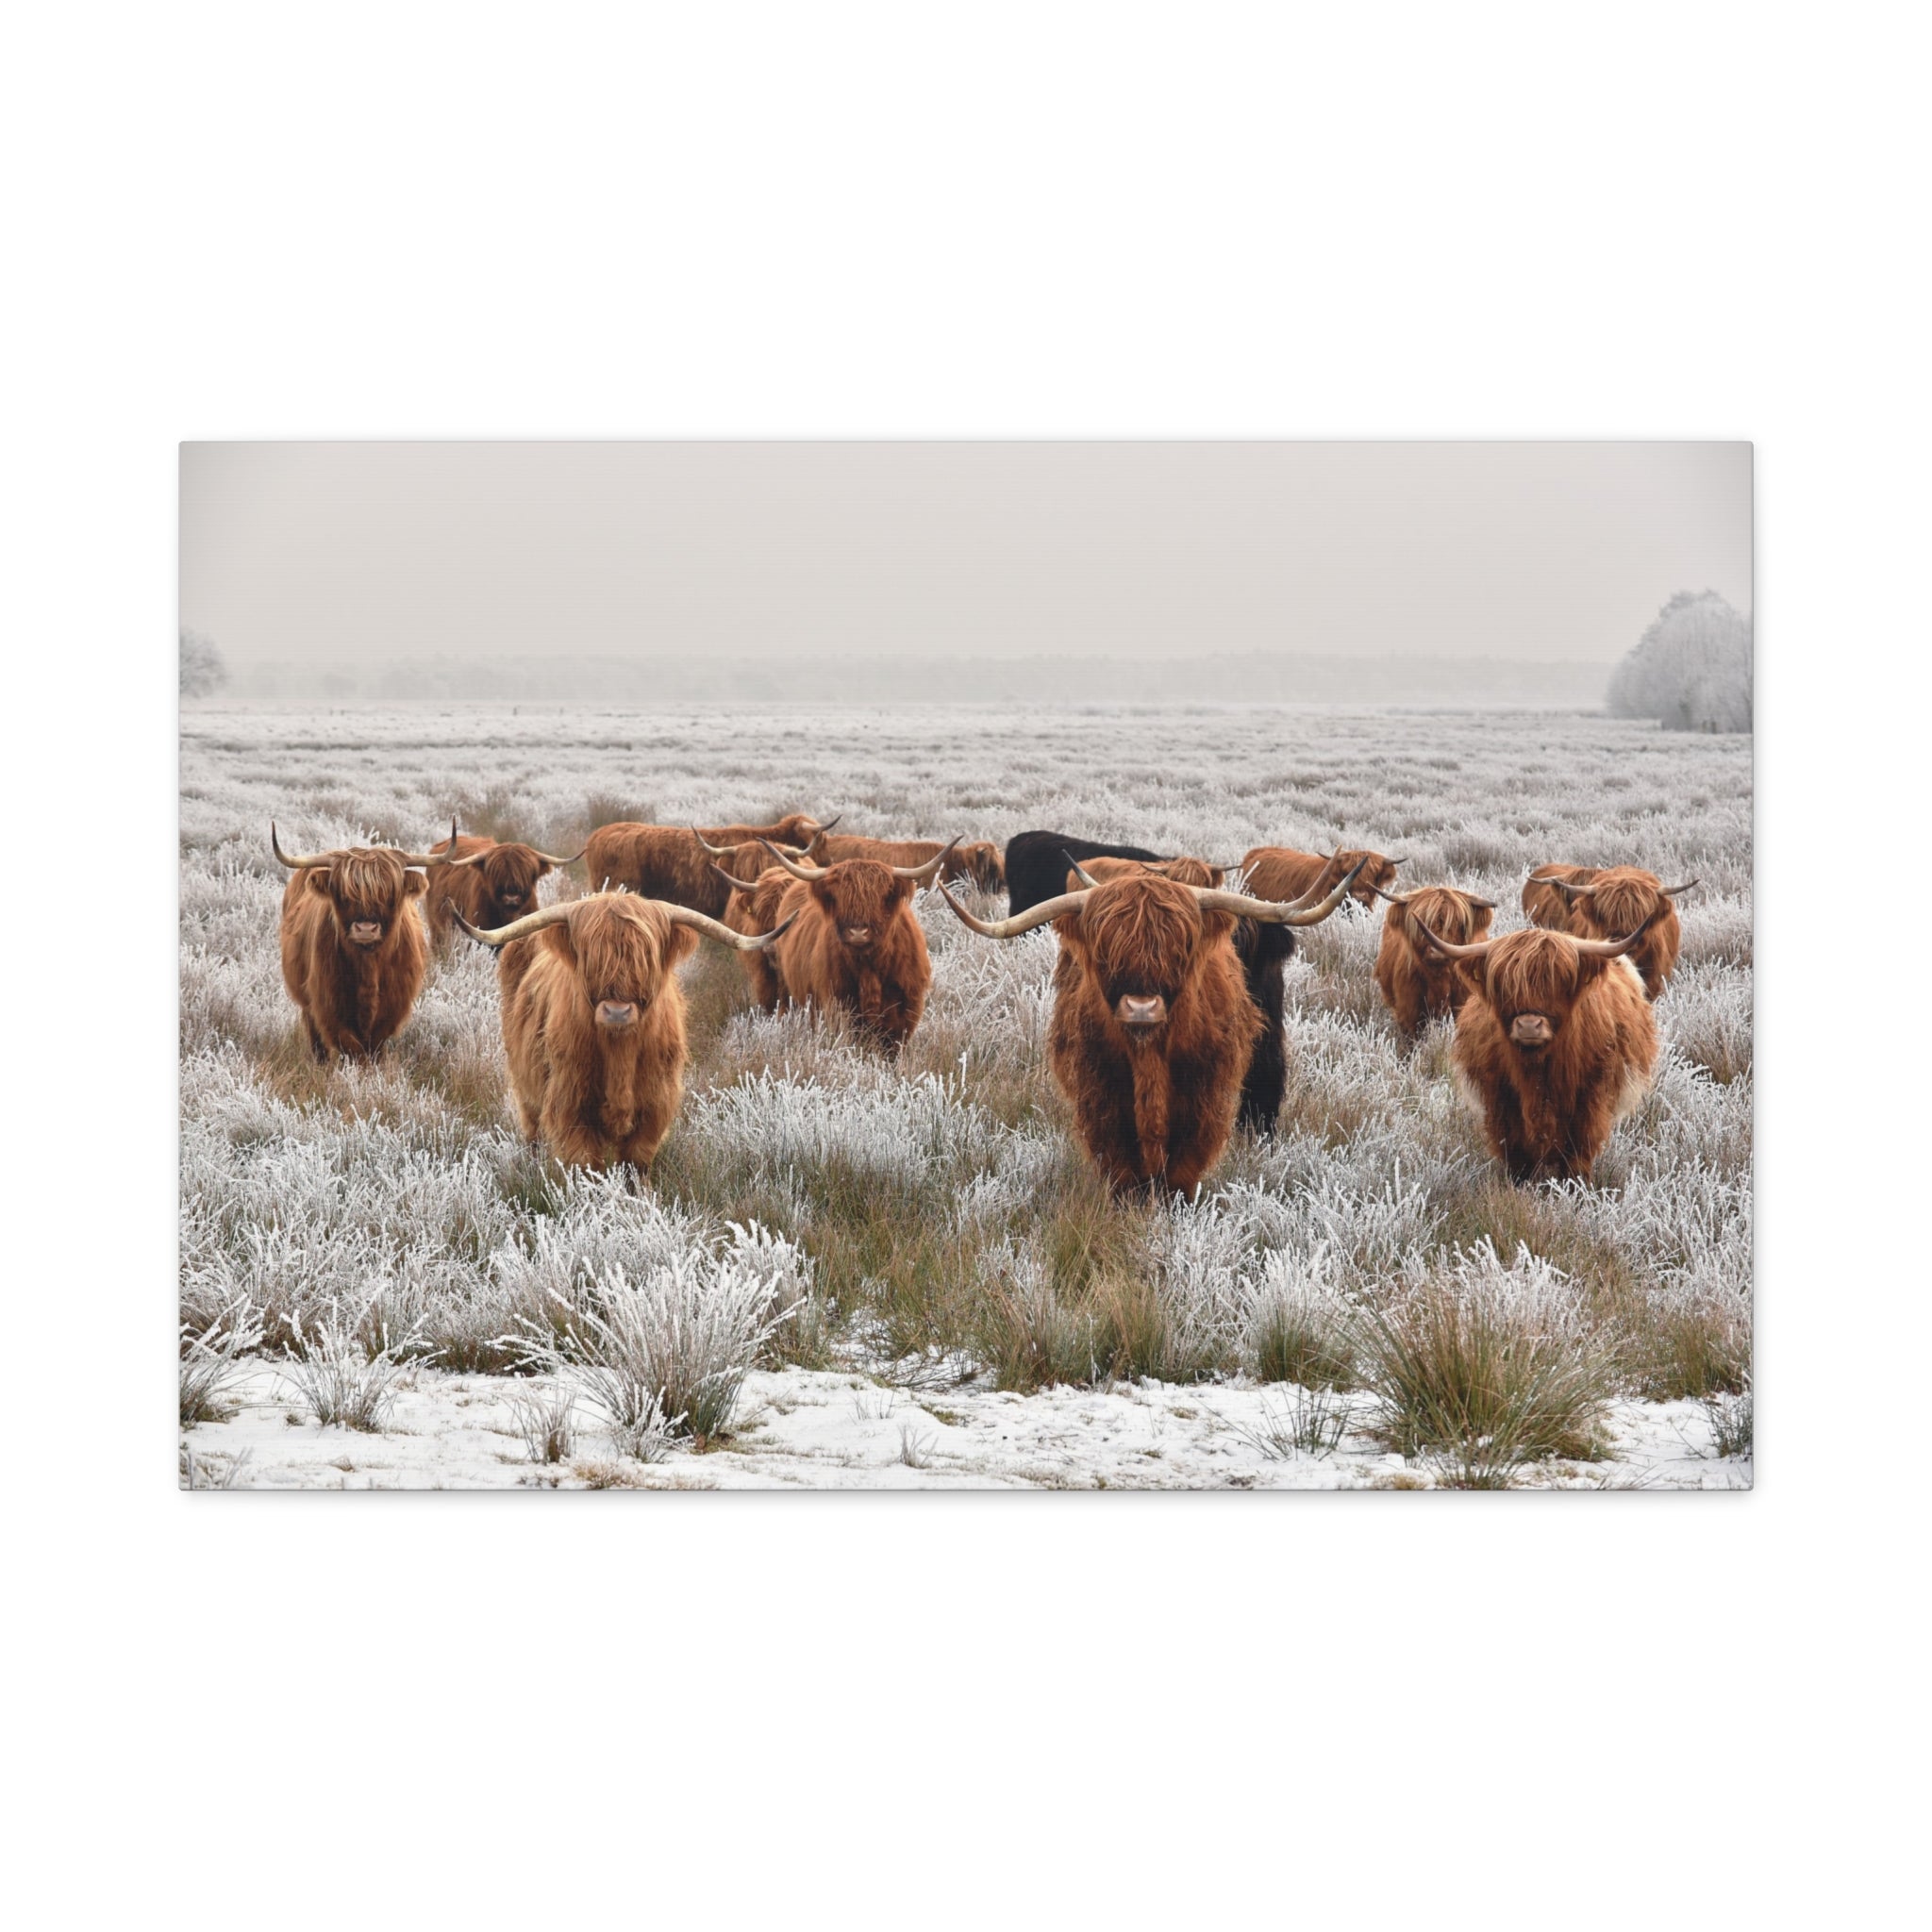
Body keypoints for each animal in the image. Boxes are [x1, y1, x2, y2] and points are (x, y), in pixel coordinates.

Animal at [271, 823, 451, 1059]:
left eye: (390, 894)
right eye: (344, 894)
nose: (366, 929)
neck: (369, 965)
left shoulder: (392, 1010)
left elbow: (373, 1049)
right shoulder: (329, 1006)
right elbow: (351, 1048)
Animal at [450, 891, 794, 1170]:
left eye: (646, 957)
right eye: (590, 956)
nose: (617, 1011)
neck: (620, 1053)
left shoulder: (655, 1105)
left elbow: (636, 1162)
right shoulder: (569, 1104)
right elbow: (586, 1164)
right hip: (526, 1086)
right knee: (532, 1129)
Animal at [748, 838, 960, 1050]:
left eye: (880, 896)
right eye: (839, 896)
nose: (858, 933)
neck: (869, 968)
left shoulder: (904, 1014)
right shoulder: (837, 1006)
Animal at [940, 862, 1362, 1197]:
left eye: (1181, 947)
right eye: (1105, 951)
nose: (1141, 1007)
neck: (1149, 1056)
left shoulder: (1203, 1098)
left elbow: (1182, 1168)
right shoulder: (1101, 1097)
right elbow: (1123, 1168)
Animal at [1409, 911, 1665, 1184]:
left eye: (1560, 982)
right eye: (1503, 985)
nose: (1529, 1026)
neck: (1538, 1071)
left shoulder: (1591, 1099)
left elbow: (1578, 1153)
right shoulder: (1500, 1100)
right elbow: (1517, 1153)